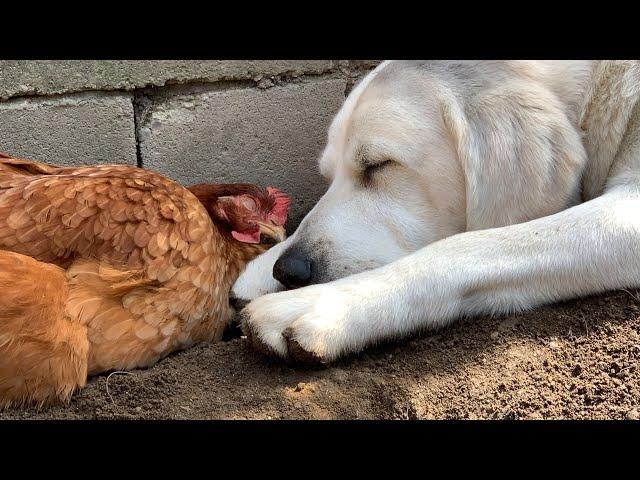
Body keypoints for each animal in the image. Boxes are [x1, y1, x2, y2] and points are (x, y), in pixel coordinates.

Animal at [231, 60, 640, 362]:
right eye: (328, 176)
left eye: (378, 165)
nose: (288, 270)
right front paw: (262, 268)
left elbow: (468, 245)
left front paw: (325, 305)